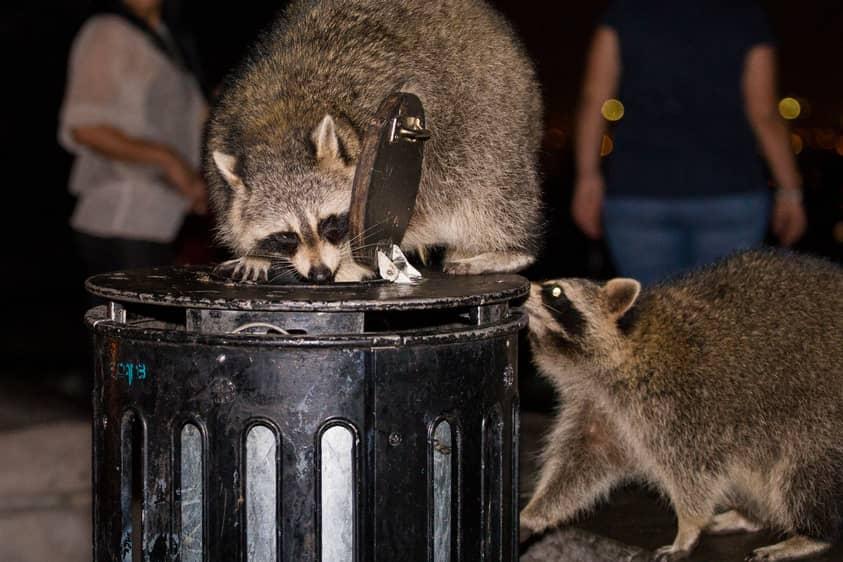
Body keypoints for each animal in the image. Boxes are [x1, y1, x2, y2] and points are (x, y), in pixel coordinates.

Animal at [204, 0, 540, 280]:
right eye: (286, 236)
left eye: (329, 224)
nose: (321, 274)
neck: (279, 124)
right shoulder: (220, 134)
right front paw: (256, 255)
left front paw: (352, 263)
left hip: (494, 115)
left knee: (488, 187)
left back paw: (510, 250)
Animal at [520, 250, 843, 560]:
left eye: (555, 292)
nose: (523, 287)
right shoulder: (598, 406)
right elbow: (580, 461)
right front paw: (534, 513)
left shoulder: (680, 403)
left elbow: (692, 471)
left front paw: (688, 526)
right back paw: (752, 516)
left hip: (820, 422)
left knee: (803, 472)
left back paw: (812, 535)